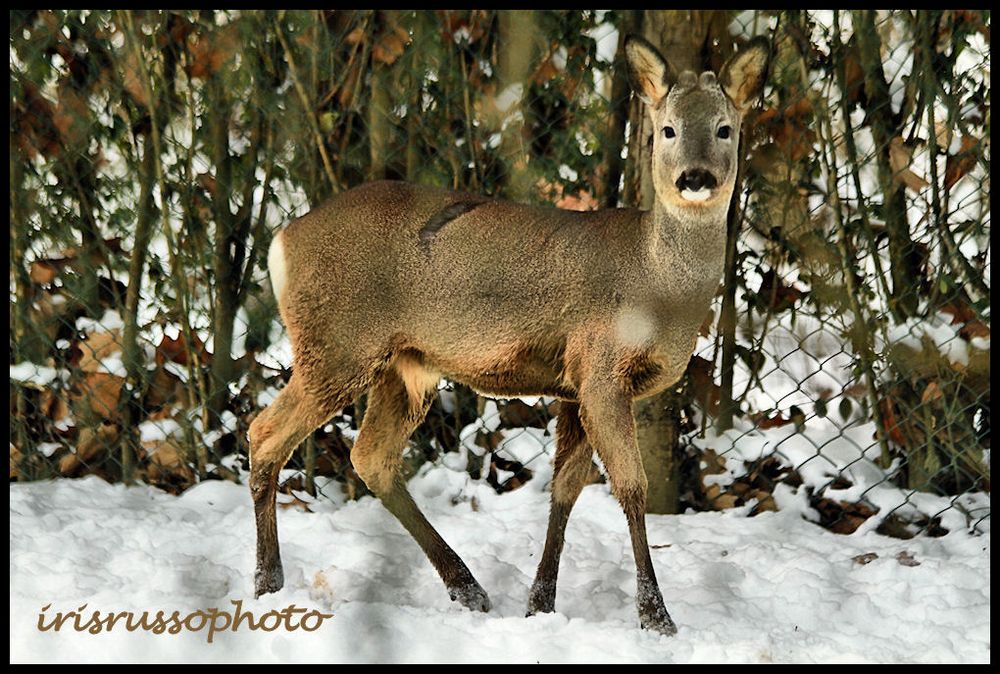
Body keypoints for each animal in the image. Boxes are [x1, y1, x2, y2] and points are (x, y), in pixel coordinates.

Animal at [248, 34, 764, 632]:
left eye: (724, 128)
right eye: (669, 129)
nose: (695, 178)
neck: (659, 287)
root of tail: (281, 241)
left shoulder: (575, 384)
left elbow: (565, 490)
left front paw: (541, 603)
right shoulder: (602, 368)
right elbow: (632, 489)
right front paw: (656, 618)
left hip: (404, 364)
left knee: (370, 456)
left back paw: (466, 586)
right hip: (336, 345)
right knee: (265, 433)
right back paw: (268, 584)